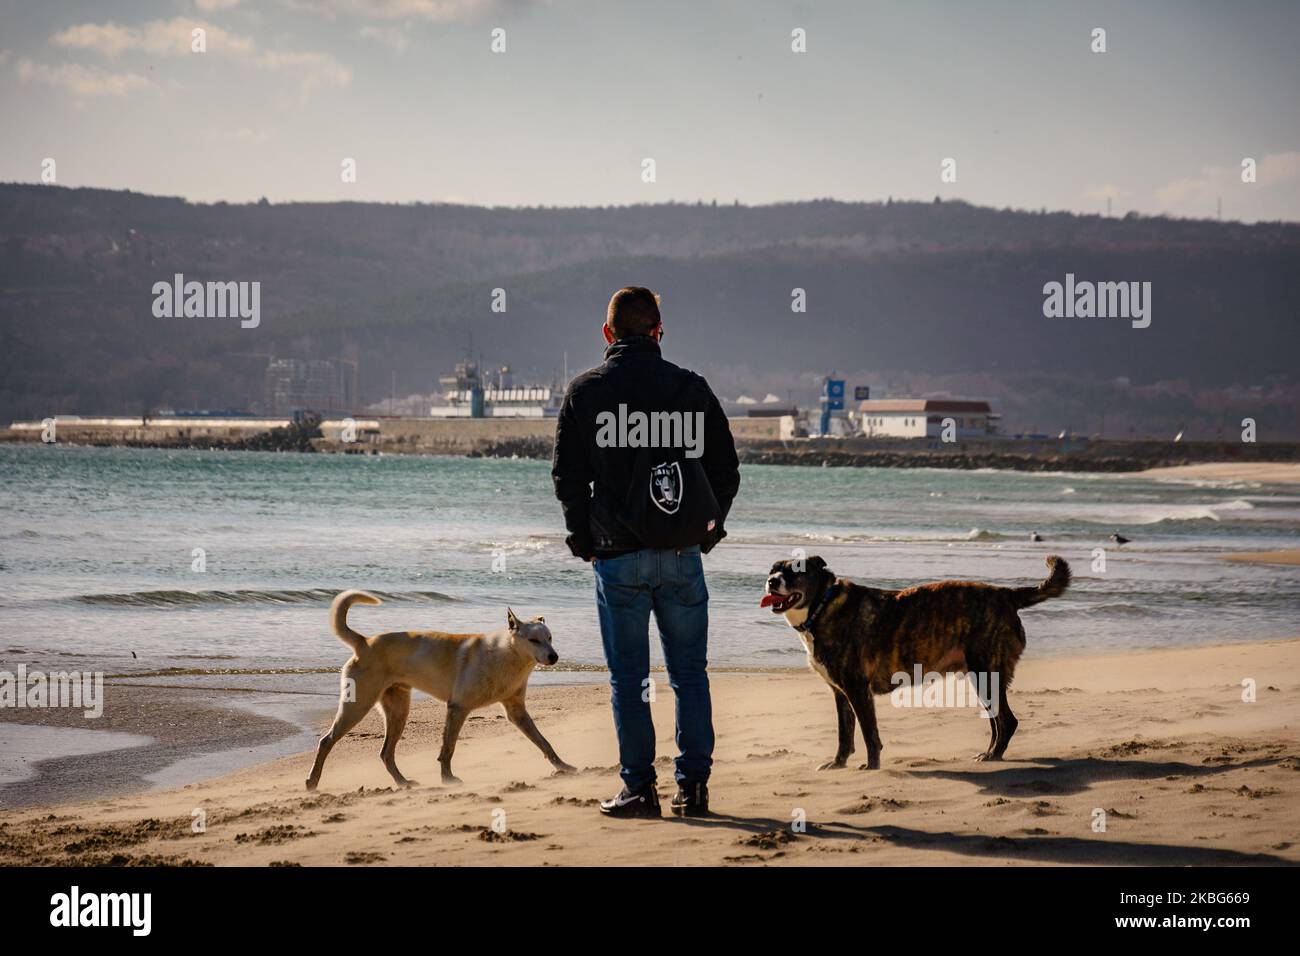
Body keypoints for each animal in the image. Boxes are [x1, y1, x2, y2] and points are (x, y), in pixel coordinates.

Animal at [759, 554, 1071, 770]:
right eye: (773, 570)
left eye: (795, 570)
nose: (772, 581)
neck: (822, 606)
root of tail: (1006, 594)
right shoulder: (840, 693)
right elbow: (844, 734)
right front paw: (838, 764)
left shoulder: (858, 690)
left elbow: (869, 733)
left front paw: (871, 767)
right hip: (982, 677)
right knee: (997, 721)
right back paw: (990, 753)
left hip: (985, 673)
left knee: (1007, 720)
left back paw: (994, 755)